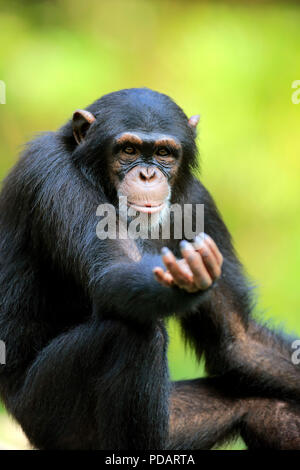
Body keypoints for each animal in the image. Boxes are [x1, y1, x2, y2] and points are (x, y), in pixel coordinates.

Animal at [0, 86, 300, 450]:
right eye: (128, 150)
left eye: (164, 153)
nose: (147, 174)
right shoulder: (53, 174)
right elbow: (112, 276)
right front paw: (182, 283)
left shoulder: (199, 203)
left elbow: (236, 340)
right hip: (46, 414)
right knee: (133, 332)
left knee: (264, 407)